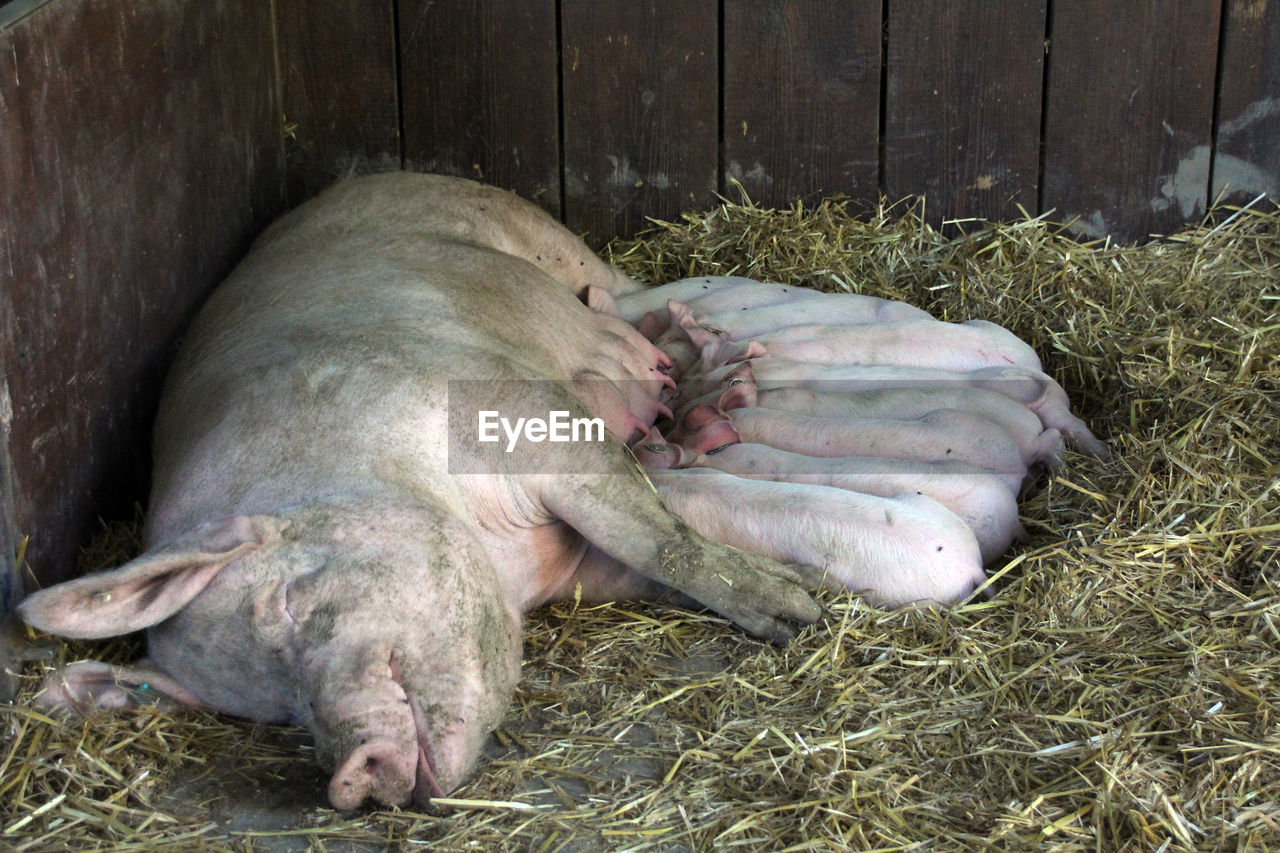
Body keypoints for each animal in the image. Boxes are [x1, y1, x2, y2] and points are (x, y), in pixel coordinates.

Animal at [17, 171, 819, 809]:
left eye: (288, 602)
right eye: (272, 711)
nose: (353, 773)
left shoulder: (523, 413)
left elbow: (655, 537)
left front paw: (797, 610)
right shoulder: (570, 567)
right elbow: (641, 561)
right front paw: (797, 594)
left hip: (549, 242)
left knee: (623, 296)